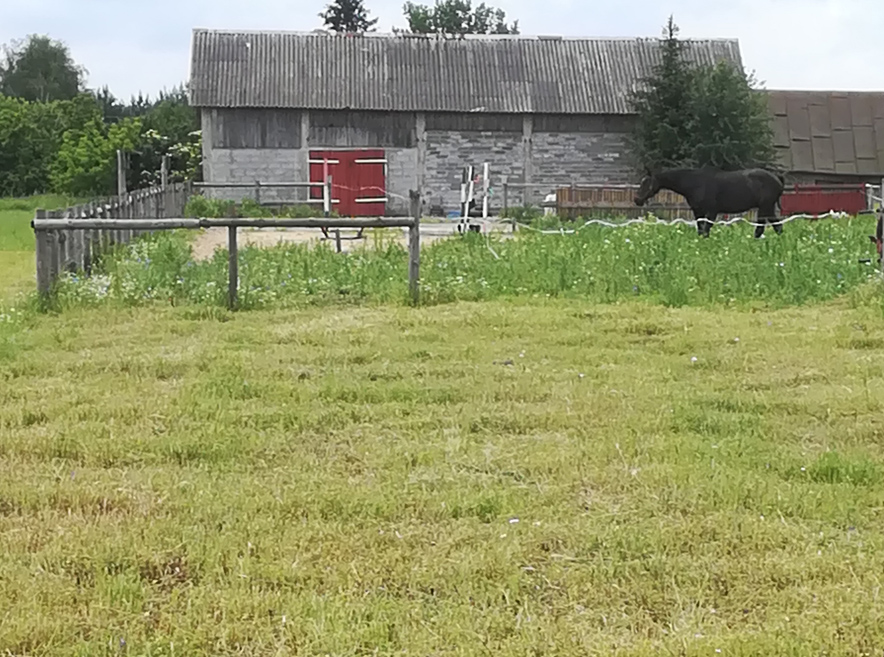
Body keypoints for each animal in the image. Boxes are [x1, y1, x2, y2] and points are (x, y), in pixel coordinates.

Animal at [632, 167, 784, 238]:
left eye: (647, 183)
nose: (637, 199)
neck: (695, 183)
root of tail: (777, 179)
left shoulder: (711, 211)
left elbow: (705, 230)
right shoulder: (697, 211)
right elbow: (700, 230)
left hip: (764, 208)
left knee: (762, 228)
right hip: (768, 208)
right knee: (777, 226)